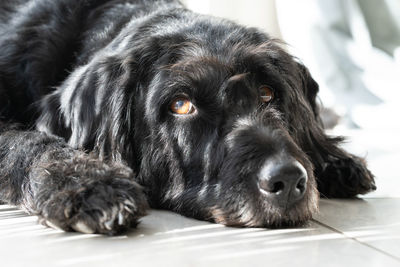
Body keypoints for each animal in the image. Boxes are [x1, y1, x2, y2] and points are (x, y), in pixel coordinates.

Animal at [0, 0, 376, 234]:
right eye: (180, 104)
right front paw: (88, 184)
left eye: (268, 92)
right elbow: (27, 143)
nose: (286, 179)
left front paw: (332, 157)